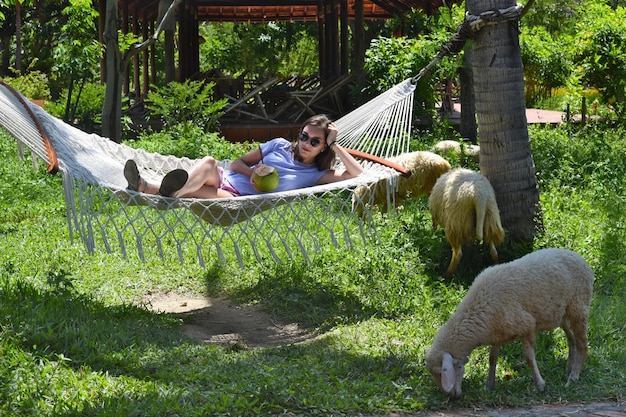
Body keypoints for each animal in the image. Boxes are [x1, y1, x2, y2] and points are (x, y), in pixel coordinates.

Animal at [422, 247, 592, 396]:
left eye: (440, 373)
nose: (451, 397)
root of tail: (578, 256)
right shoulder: (497, 333)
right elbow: (492, 358)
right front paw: (489, 385)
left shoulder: (526, 325)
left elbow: (529, 358)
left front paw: (540, 385)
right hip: (561, 313)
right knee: (572, 339)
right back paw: (569, 369)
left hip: (579, 306)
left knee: (582, 344)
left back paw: (573, 376)